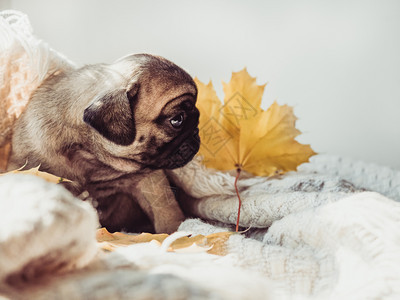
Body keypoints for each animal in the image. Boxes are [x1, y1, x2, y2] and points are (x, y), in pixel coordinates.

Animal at [7, 52, 198, 233]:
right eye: (177, 120)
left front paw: (176, 230)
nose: (197, 125)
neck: (91, 157)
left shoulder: (148, 180)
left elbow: (165, 208)